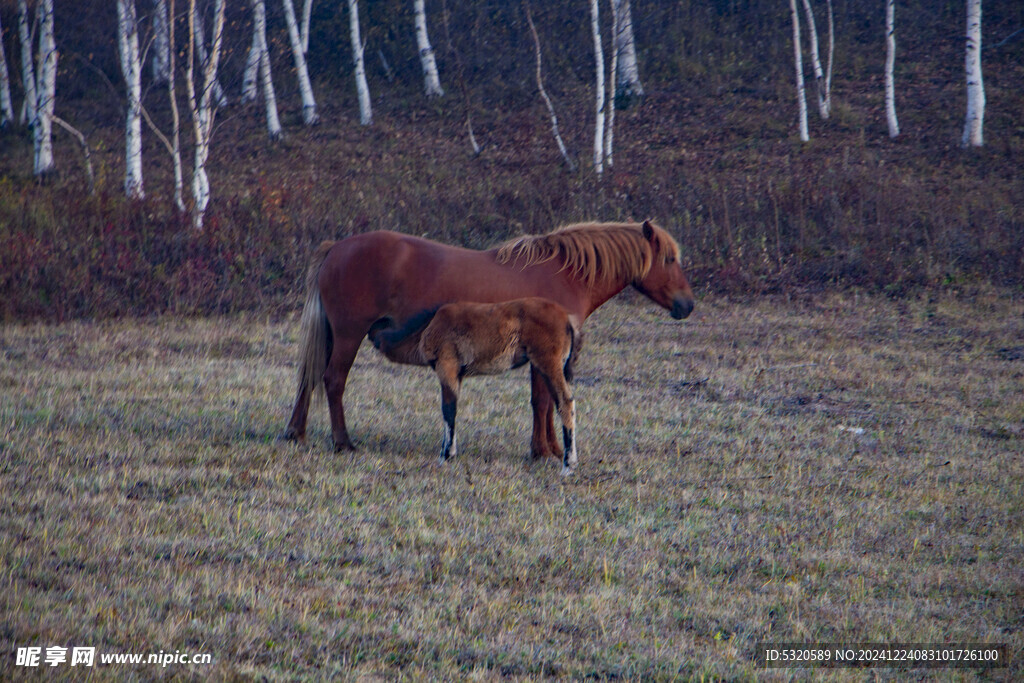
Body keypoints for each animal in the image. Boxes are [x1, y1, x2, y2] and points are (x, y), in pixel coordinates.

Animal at [284, 222, 692, 456]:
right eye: (669, 259)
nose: (687, 305)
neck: (564, 274)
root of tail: (336, 247)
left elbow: (545, 402)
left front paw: (550, 448)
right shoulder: (543, 355)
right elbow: (543, 402)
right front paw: (544, 451)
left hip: (334, 336)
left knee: (309, 379)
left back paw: (296, 434)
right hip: (349, 335)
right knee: (333, 381)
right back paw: (343, 442)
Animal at [376, 296, 585, 479]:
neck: (428, 325)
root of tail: (567, 319)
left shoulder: (447, 367)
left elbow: (448, 410)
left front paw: (446, 456)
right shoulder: (458, 375)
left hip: (548, 363)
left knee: (565, 403)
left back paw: (568, 465)